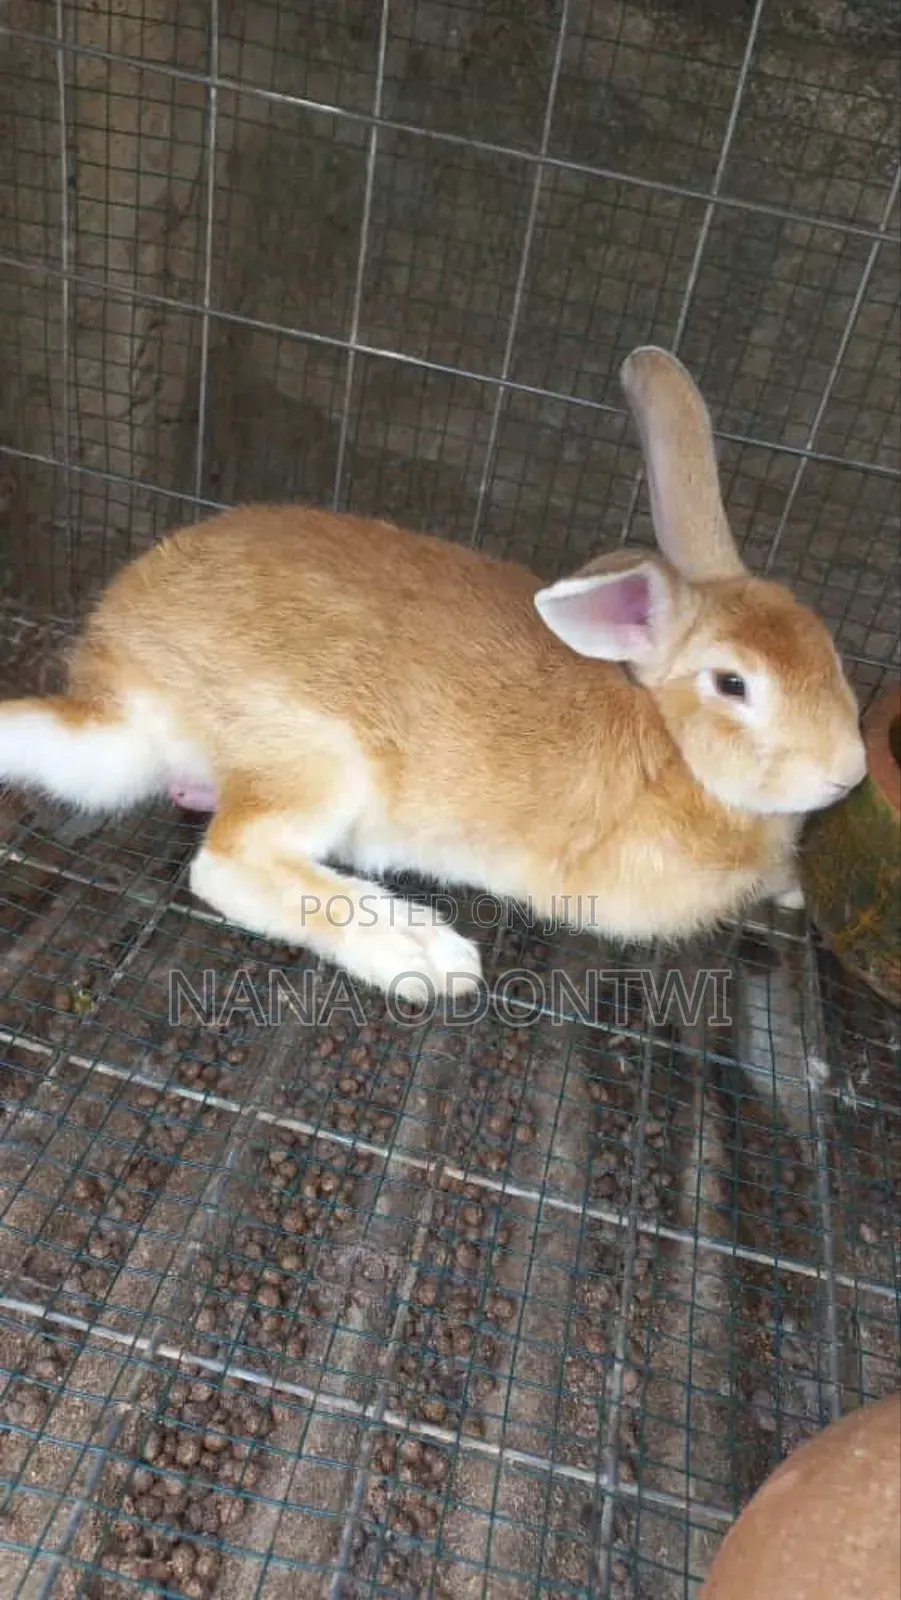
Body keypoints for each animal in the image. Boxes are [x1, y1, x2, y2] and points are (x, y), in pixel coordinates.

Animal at [0, 347, 866, 1004]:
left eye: (828, 652)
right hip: (317, 753)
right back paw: (422, 954)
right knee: (227, 864)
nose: (850, 774)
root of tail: (119, 684)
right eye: (733, 685)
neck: (672, 745)